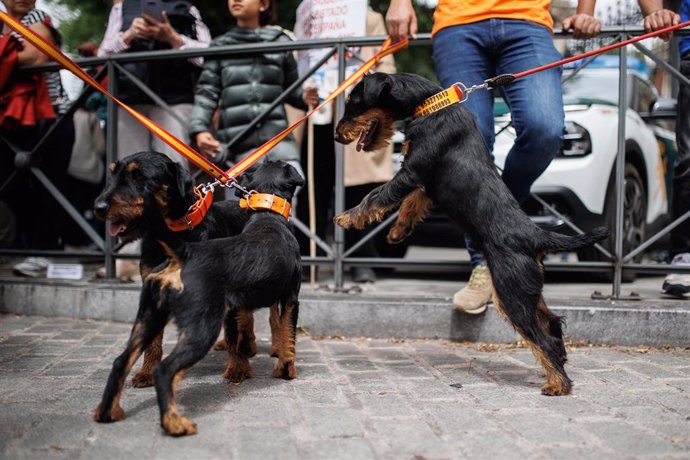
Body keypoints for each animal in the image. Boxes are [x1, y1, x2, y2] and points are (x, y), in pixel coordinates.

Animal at [92, 152, 274, 388]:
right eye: (112, 174)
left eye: (139, 176)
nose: (99, 207)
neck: (172, 237)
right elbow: (153, 342)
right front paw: (147, 372)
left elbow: (233, 332)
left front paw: (238, 369)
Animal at [334, 73, 608, 396]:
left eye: (354, 102)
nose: (337, 135)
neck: (430, 104)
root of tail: (535, 236)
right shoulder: (425, 181)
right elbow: (411, 203)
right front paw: (397, 232)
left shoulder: (411, 171)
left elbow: (377, 195)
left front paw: (346, 217)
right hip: (528, 290)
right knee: (553, 324)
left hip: (511, 293)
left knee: (541, 337)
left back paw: (558, 384)